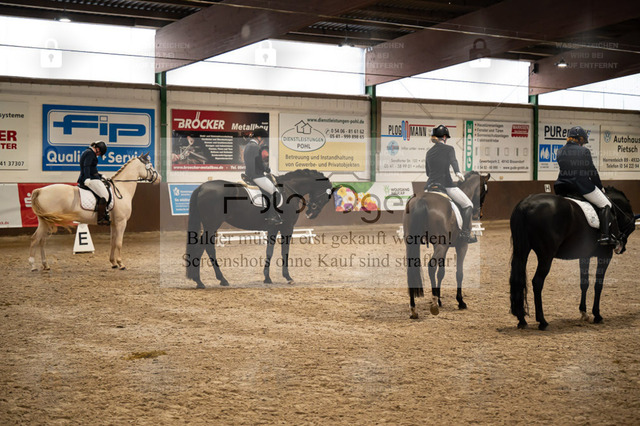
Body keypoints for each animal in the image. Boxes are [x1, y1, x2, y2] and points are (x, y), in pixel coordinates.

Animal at [29, 153, 160, 271]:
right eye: (150, 166)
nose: (159, 178)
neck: (122, 189)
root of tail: (40, 190)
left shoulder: (113, 223)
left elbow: (112, 241)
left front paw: (113, 263)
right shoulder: (121, 222)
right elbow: (119, 242)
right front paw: (120, 263)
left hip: (45, 222)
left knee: (41, 240)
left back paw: (45, 265)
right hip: (47, 222)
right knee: (36, 239)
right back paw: (33, 266)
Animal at [185, 169, 333, 288]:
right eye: (326, 197)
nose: (311, 214)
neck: (289, 190)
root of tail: (202, 187)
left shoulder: (273, 228)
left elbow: (269, 251)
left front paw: (267, 278)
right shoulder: (287, 227)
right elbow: (284, 251)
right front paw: (288, 277)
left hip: (210, 225)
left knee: (205, 248)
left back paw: (210, 281)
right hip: (212, 225)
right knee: (205, 248)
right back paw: (208, 281)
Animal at [404, 171, 490, 319]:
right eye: (486, 191)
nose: (479, 214)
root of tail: (421, 200)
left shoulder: (440, 246)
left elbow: (441, 273)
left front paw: (439, 299)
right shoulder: (461, 246)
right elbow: (459, 273)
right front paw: (460, 302)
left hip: (417, 243)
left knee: (413, 269)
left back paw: (413, 309)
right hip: (442, 246)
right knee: (431, 267)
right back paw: (433, 305)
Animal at [509, 187, 637, 330]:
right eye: (632, 226)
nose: (620, 248)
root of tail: (525, 204)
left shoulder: (584, 256)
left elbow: (584, 283)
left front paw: (584, 312)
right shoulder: (605, 256)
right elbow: (598, 284)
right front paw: (597, 315)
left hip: (522, 251)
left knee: (518, 280)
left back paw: (521, 320)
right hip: (546, 256)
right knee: (537, 282)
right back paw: (542, 321)